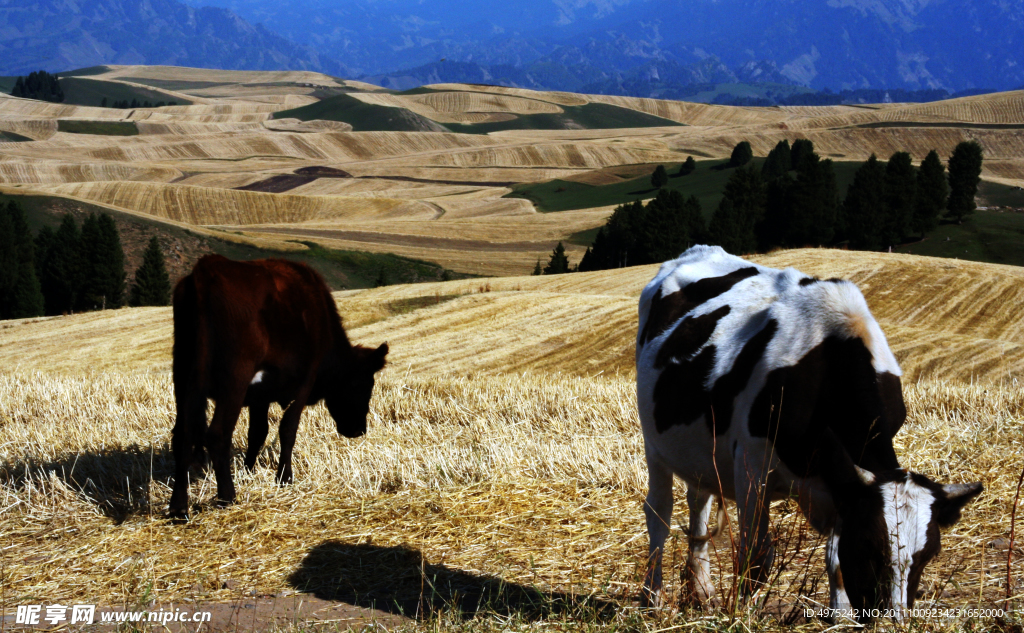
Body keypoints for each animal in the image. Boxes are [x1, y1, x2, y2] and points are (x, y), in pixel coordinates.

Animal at [172, 255, 387, 518]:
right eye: (364, 385)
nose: (359, 430)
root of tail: (209, 266)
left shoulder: (260, 395)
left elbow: (258, 432)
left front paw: (248, 470)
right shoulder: (304, 383)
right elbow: (288, 429)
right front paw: (284, 477)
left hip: (184, 376)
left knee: (182, 434)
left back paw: (178, 507)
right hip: (235, 378)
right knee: (217, 433)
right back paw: (227, 497)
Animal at [634, 243, 978, 618]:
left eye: (929, 554)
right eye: (869, 545)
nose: (891, 618)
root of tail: (698, 250)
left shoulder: (839, 481)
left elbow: (835, 560)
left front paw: (839, 615)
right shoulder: (751, 465)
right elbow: (758, 556)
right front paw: (742, 613)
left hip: (699, 451)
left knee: (699, 501)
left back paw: (701, 589)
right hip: (654, 444)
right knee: (659, 514)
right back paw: (652, 597)